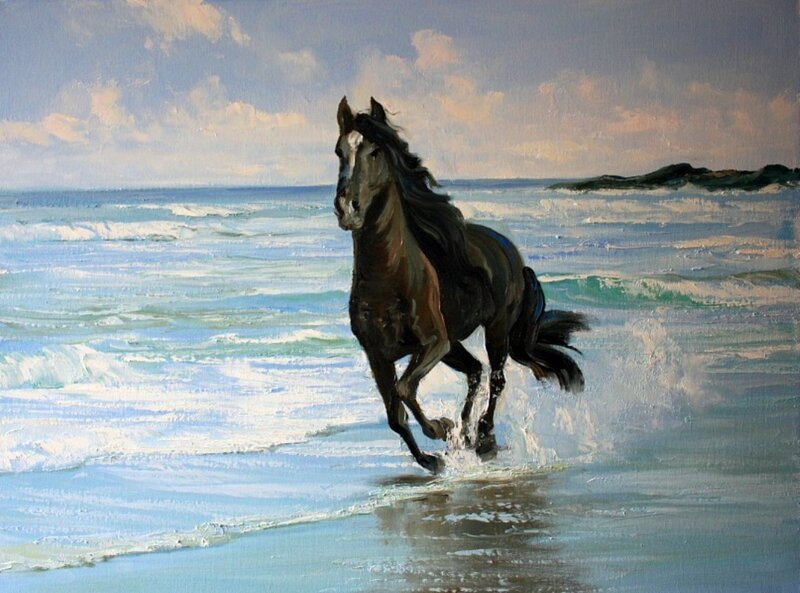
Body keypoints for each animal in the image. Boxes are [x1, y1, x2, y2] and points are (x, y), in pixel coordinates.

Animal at [334, 97, 588, 473]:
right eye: (339, 151)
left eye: (375, 151)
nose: (346, 209)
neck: (387, 278)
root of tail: (512, 254)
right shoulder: (377, 354)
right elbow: (395, 414)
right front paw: (431, 458)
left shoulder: (434, 343)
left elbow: (405, 390)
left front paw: (440, 429)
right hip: (455, 345)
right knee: (475, 372)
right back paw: (466, 435)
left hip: (494, 330)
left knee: (495, 378)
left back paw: (483, 437)